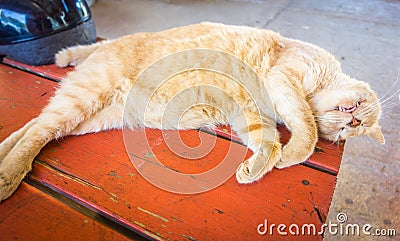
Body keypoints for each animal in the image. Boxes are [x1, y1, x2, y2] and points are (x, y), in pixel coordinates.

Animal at [0, 21, 384, 201]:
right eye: (357, 111)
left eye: (350, 130)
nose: (351, 118)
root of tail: (105, 46)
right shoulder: (283, 79)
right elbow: (304, 130)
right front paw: (292, 154)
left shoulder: (250, 110)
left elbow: (267, 141)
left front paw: (257, 167)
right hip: (84, 98)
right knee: (37, 130)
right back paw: (8, 175)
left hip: (90, 118)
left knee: (35, 126)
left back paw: (3, 159)